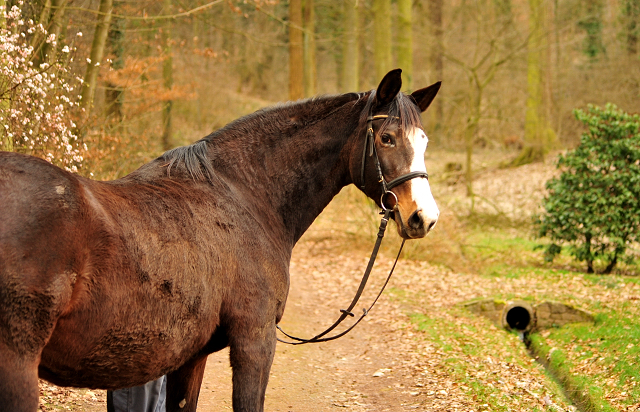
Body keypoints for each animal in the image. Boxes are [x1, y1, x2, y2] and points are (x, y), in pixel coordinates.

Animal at [0, 69, 440, 410]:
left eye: (423, 141)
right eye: (386, 138)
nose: (423, 217)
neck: (243, 196)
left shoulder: (188, 357)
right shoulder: (254, 341)